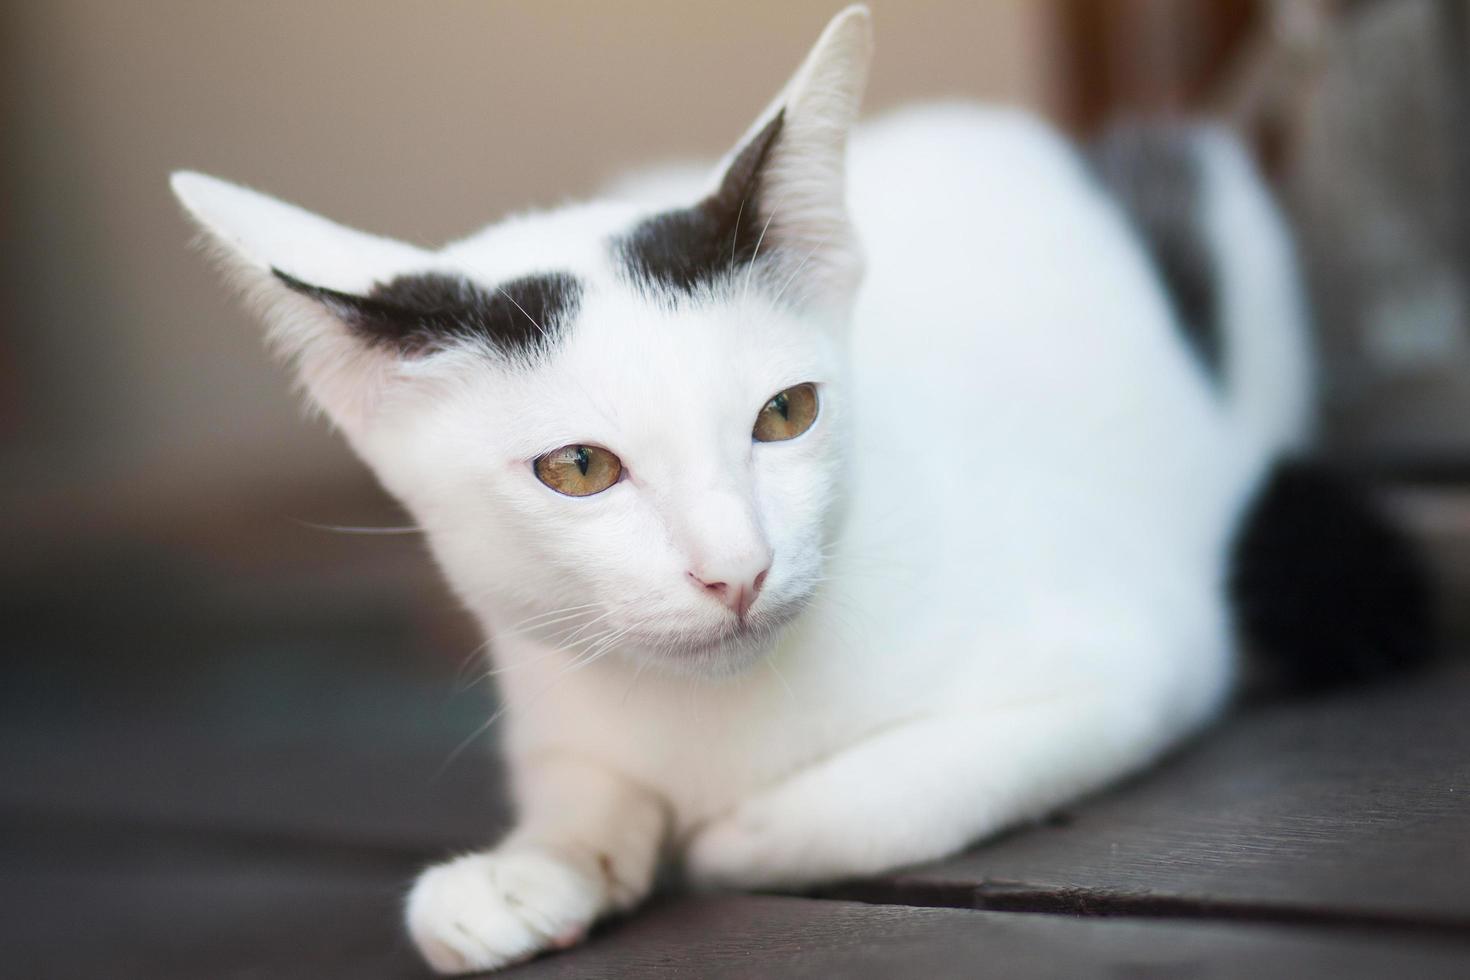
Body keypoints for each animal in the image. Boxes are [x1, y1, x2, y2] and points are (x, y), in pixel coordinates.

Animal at [166, 5, 1417, 975]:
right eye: (579, 469)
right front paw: (534, 863)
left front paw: (728, 836)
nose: (737, 569)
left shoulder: (1139, 658)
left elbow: (880, 798)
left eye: (786, 414)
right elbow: (584, 781)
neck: (714, 715)